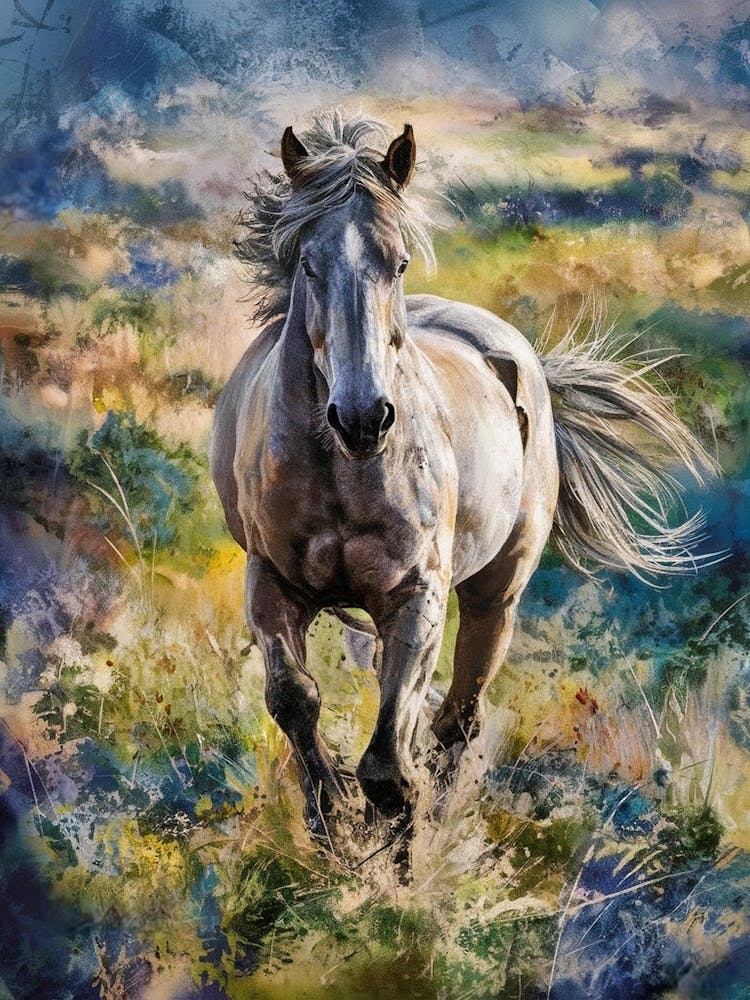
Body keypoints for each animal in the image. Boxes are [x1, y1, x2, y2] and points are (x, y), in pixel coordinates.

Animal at [210, 110, 714, 839]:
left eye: (397, 262)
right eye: (307, 262)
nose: (363, 417)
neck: (339, 469)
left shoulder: (416, 593)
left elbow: (389, 770)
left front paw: (395, 852)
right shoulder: (270, 582)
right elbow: (294, 699)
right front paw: (329, 820)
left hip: (494, 595)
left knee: (458, 719)